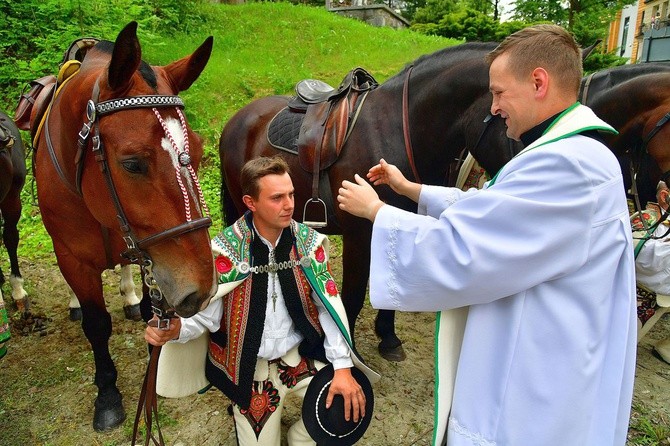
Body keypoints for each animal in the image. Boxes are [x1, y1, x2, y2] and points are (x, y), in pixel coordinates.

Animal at [32, 22, 217, 430]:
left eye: (196, 152)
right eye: (132, 163)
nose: (202, 289)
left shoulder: (150, 255)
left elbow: (151, 307)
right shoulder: (73, 258)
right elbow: (97, 325)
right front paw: (107, 395)